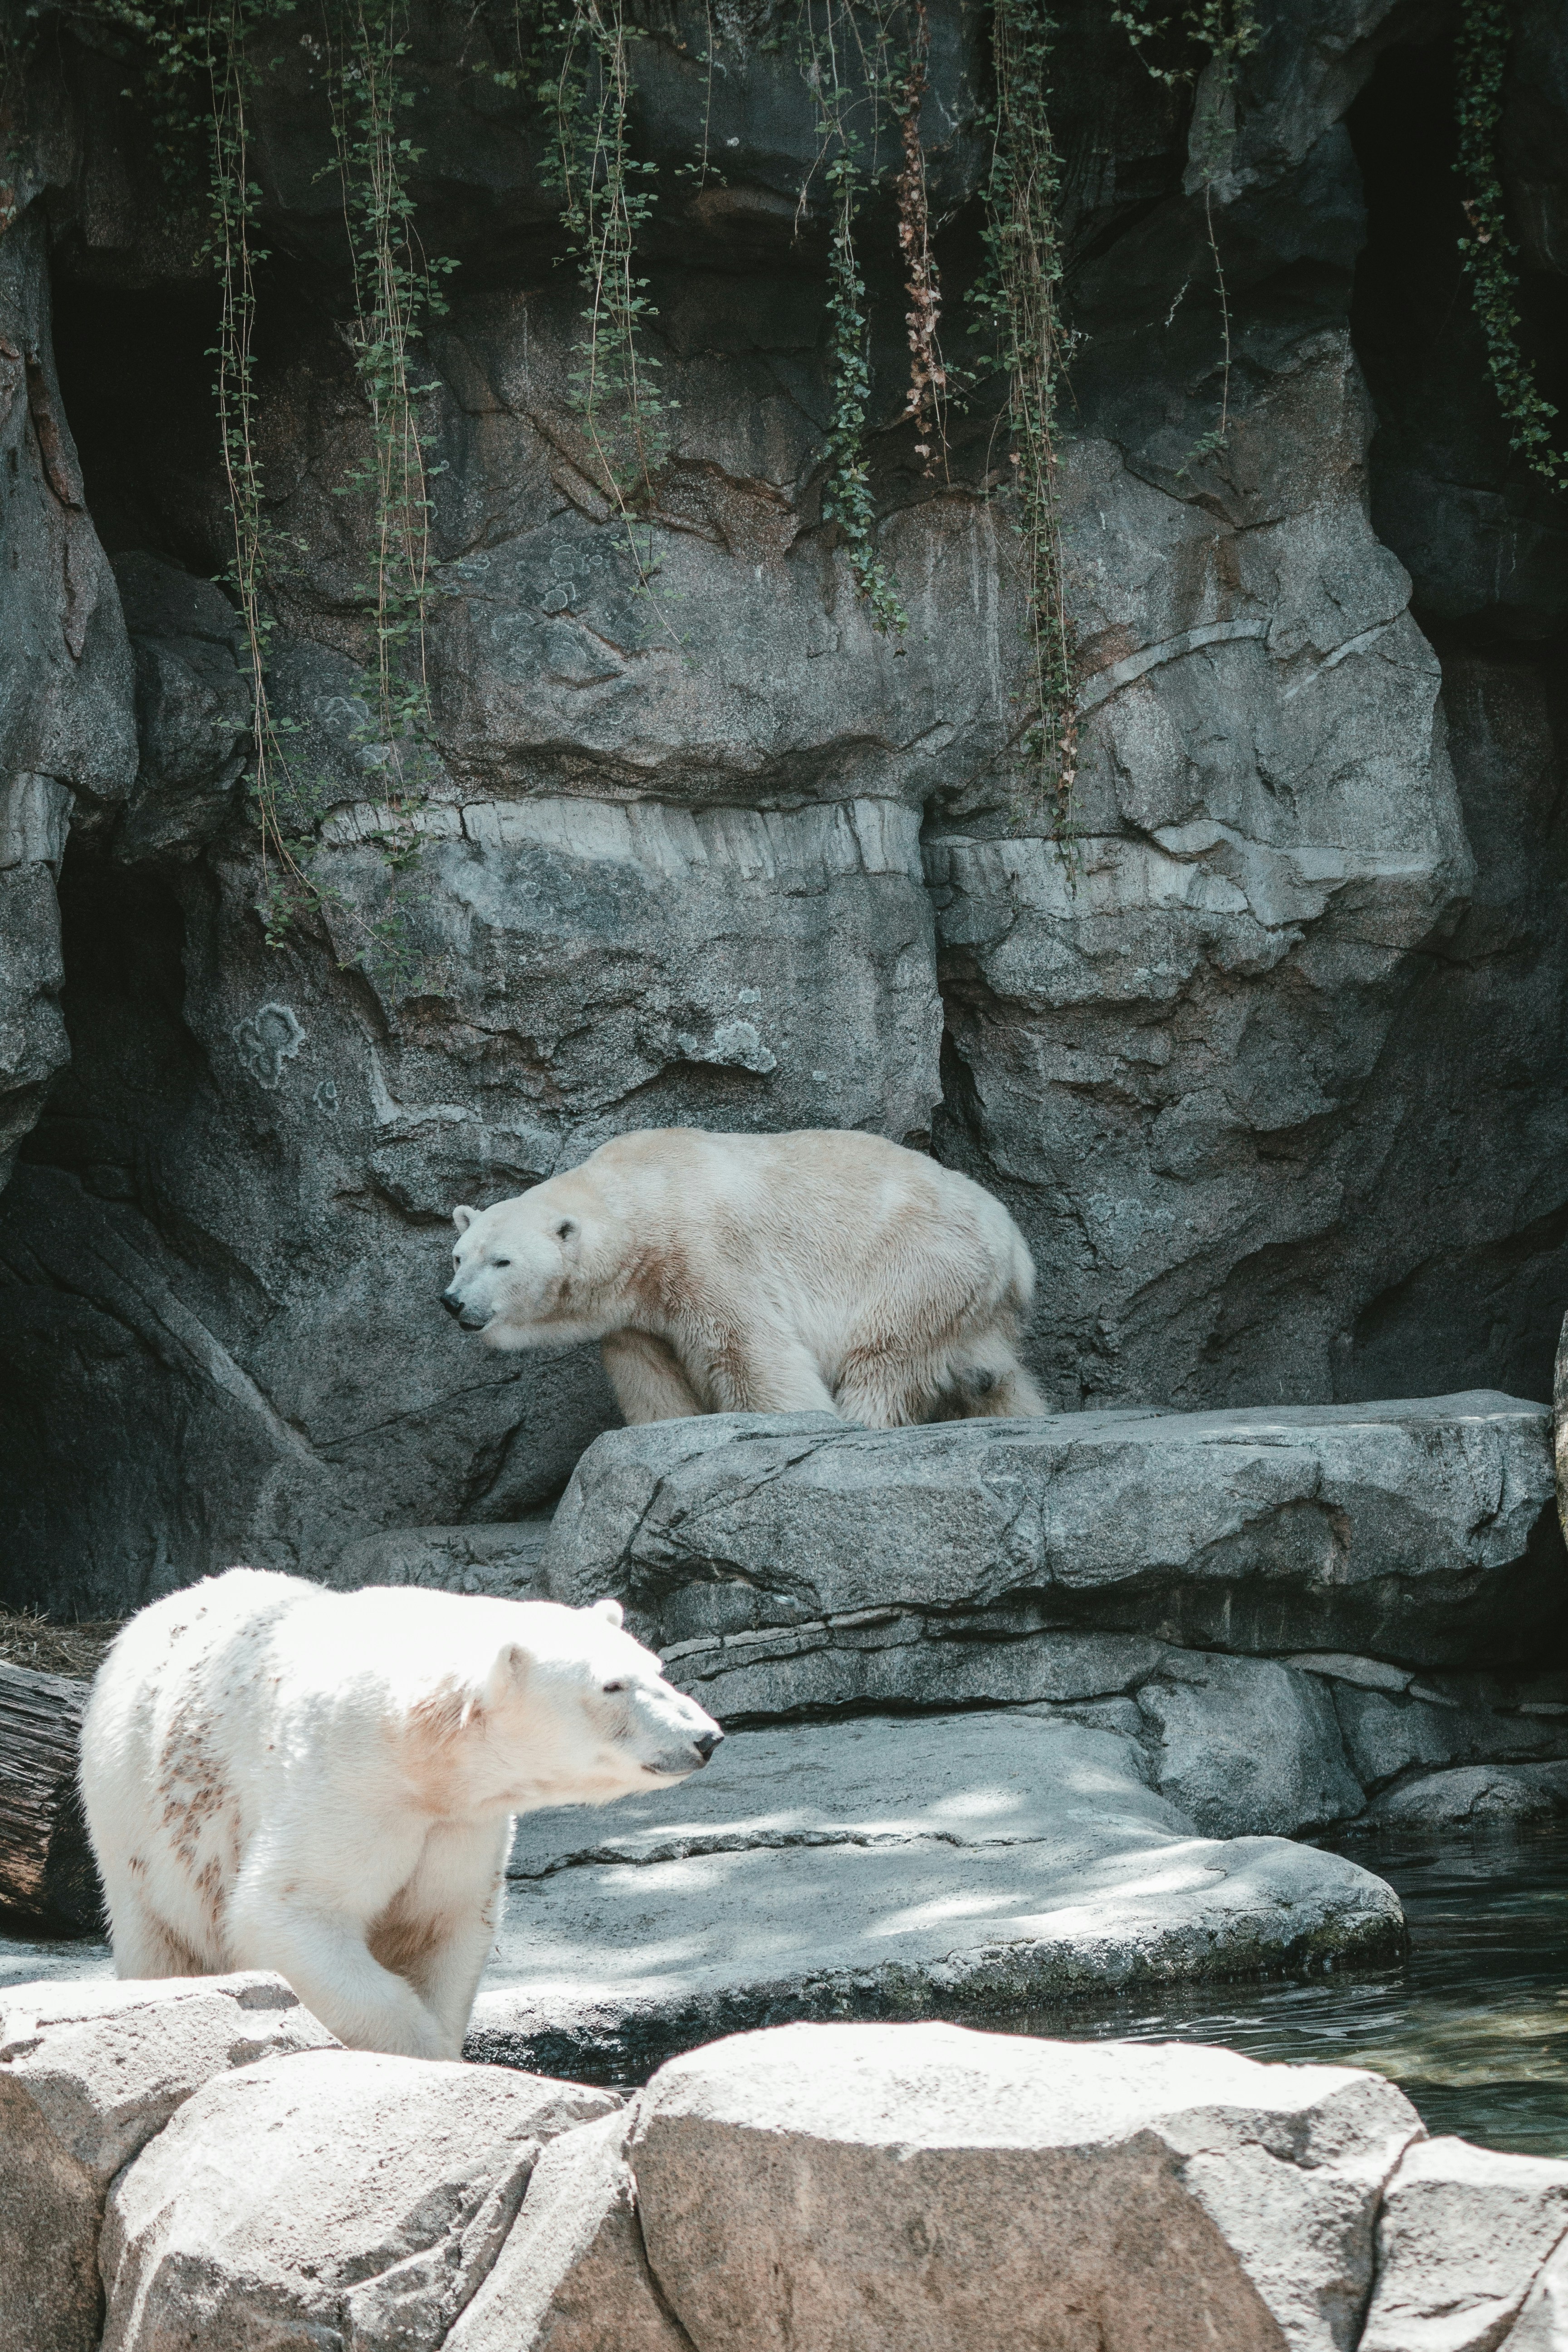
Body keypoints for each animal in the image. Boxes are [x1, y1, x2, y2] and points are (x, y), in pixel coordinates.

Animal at [80, 1567, 722, 2059]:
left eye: (656, 1669)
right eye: (612, 1686)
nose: (707, 1737)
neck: (420, 1744)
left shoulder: (459, 1822)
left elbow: (445, 1923)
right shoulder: (349, 1789)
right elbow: (288, 1913)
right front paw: (423, 2053)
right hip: (133, 1821)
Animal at [442, 1126, 1050, 1429]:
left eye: (502, 1261)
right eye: (459, 1257)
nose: (453, 1303)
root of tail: (1014, 1243)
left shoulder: (702, 1255)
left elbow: (748, 1349)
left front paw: (794, 1419)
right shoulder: (632, 1309)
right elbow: (649, 1376)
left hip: (923, 1265)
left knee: (886, 1358)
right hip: (975, 1303)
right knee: (994, 1377)